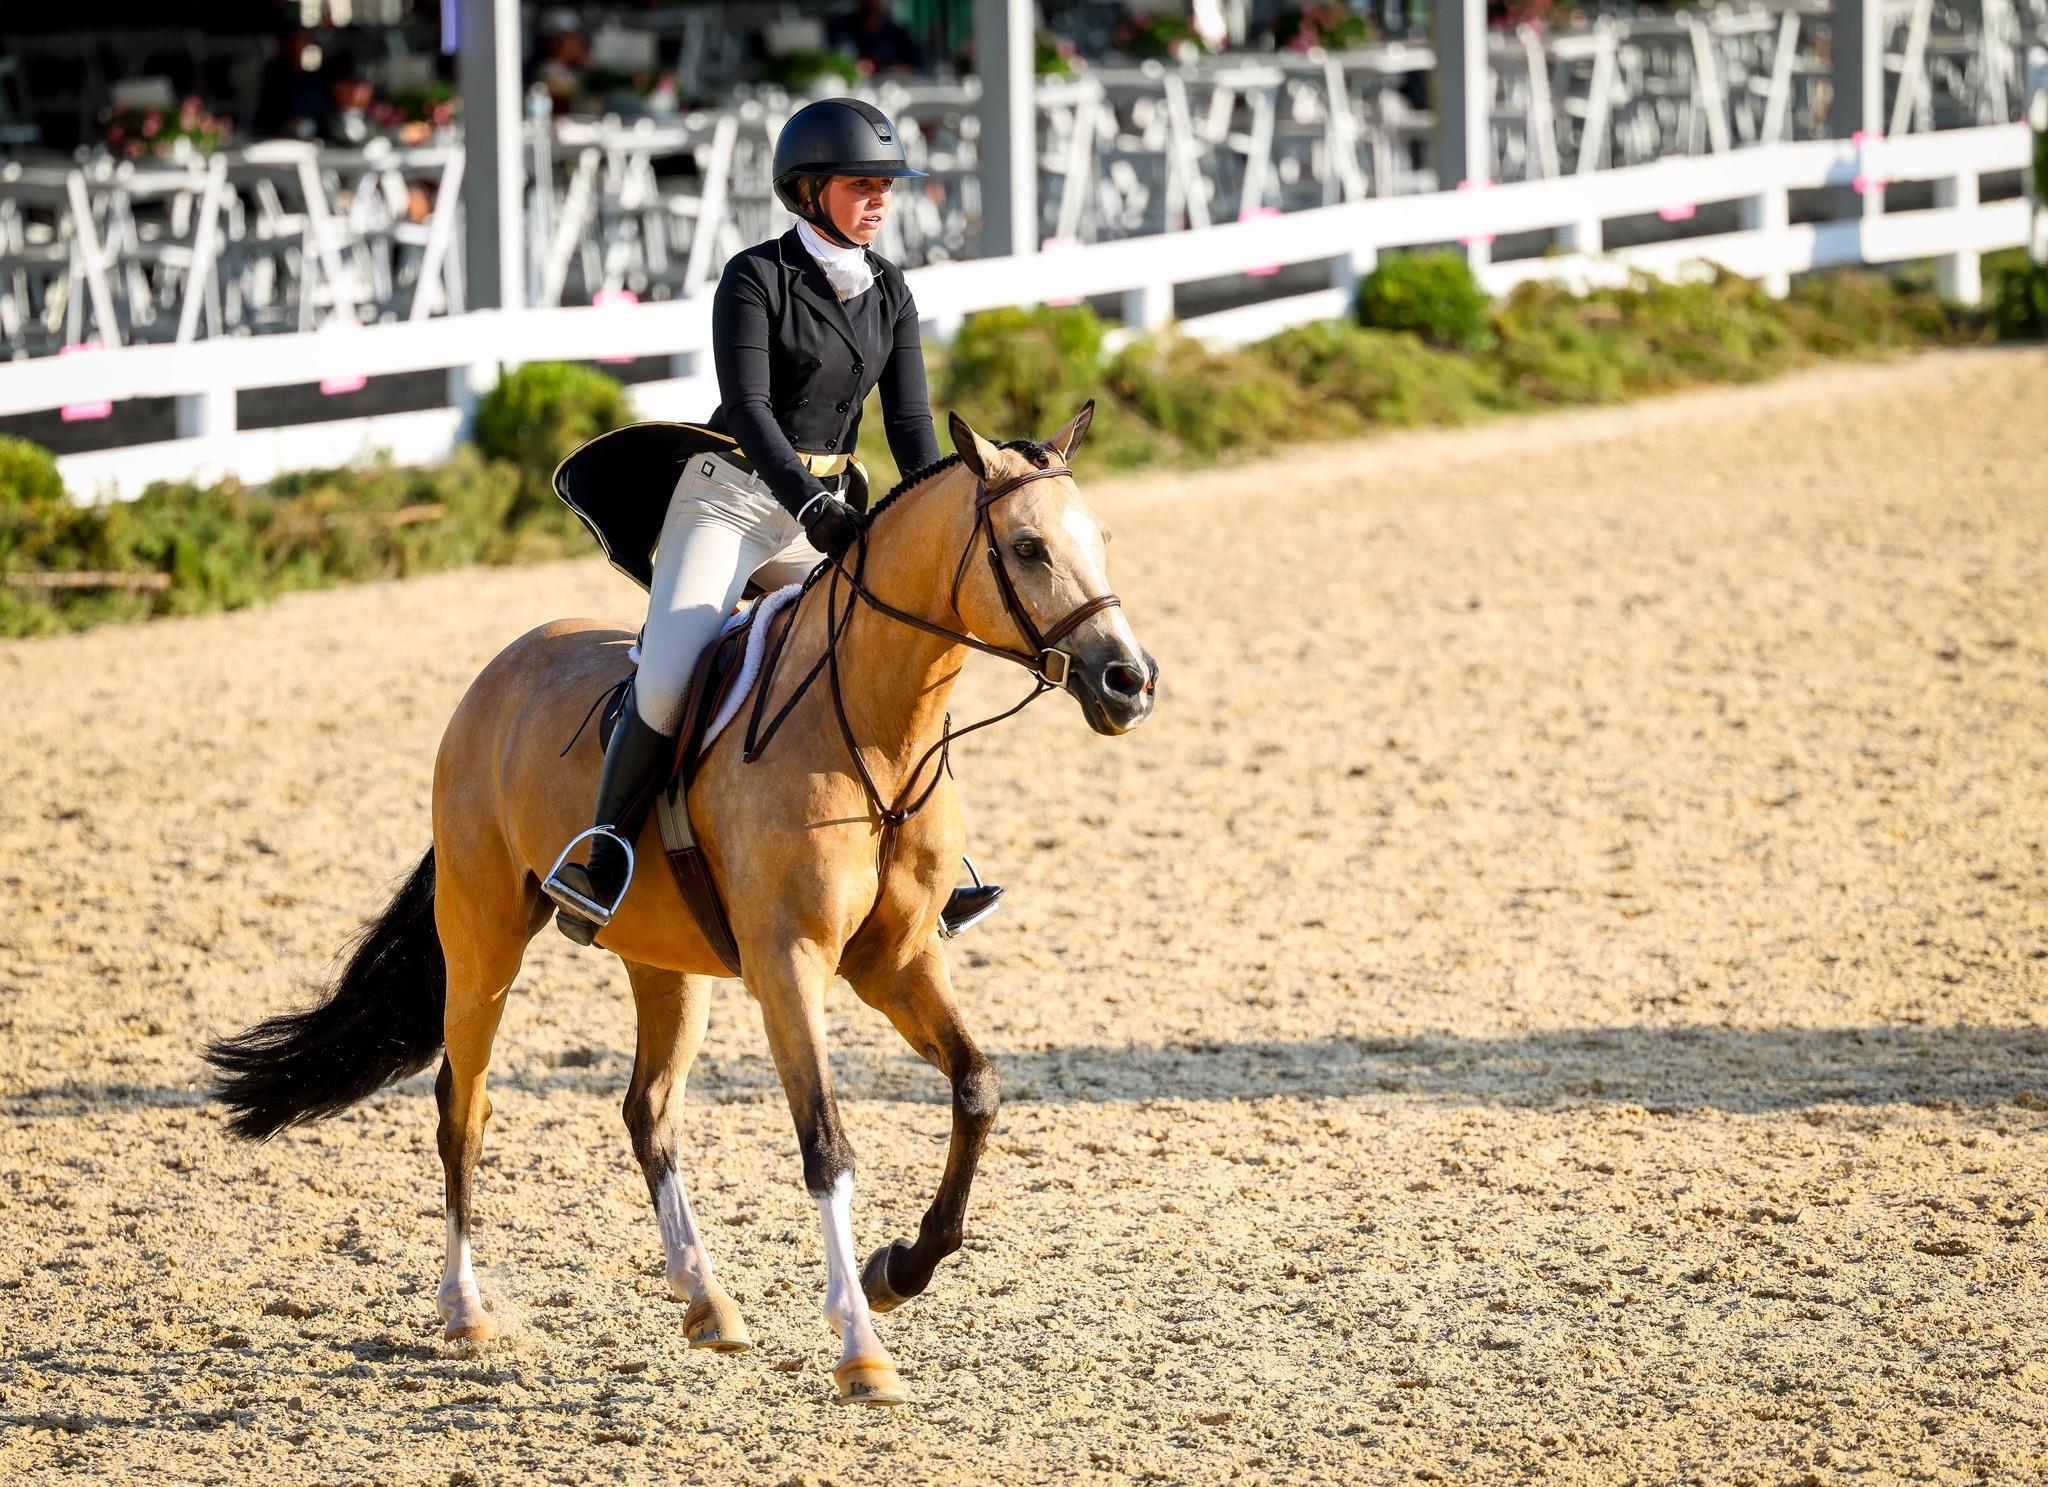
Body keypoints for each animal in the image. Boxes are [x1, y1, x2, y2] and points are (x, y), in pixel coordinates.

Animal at [205, 404, 1157, 1405]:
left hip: (664, 961)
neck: (873, 727)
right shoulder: (788, 966)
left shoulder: (899, 960)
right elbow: (827, 1144)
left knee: (648, 1110)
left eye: (1096, 538)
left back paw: (707, 1300)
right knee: (463, 1105)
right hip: (483, 938)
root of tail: (497, 674)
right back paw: (465, 1309)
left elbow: (977, 1087)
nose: (1130, 682)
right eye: (1027, 547)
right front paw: (861, 1345)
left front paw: (902, 1267)